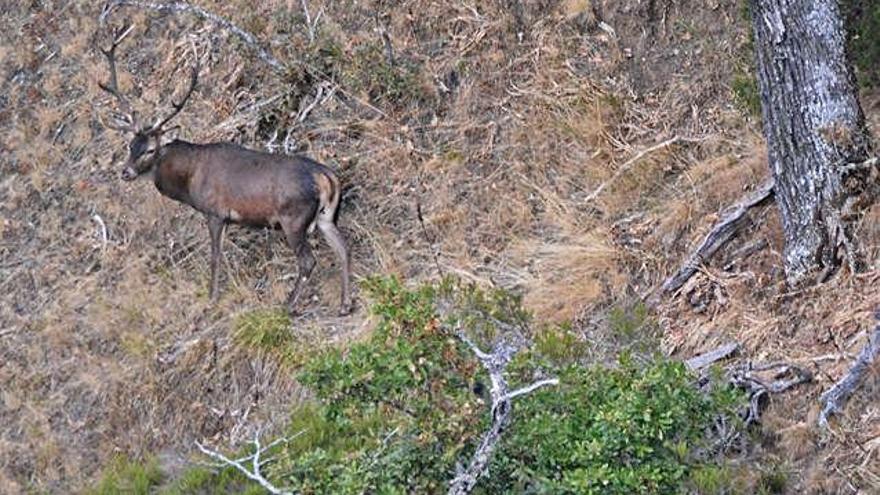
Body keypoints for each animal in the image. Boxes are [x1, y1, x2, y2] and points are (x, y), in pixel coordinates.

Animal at [98, 25, 352, 316]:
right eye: (130, 145)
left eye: (151, 150)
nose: (125, 172)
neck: (188, 181)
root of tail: (327, 177)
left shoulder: (215, 212)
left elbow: (215, 257)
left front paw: (212, 299)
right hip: (325, 216)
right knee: (343, 248)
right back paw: (345, 304)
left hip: (294, 217)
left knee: (308, 261)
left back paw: (287, 305)